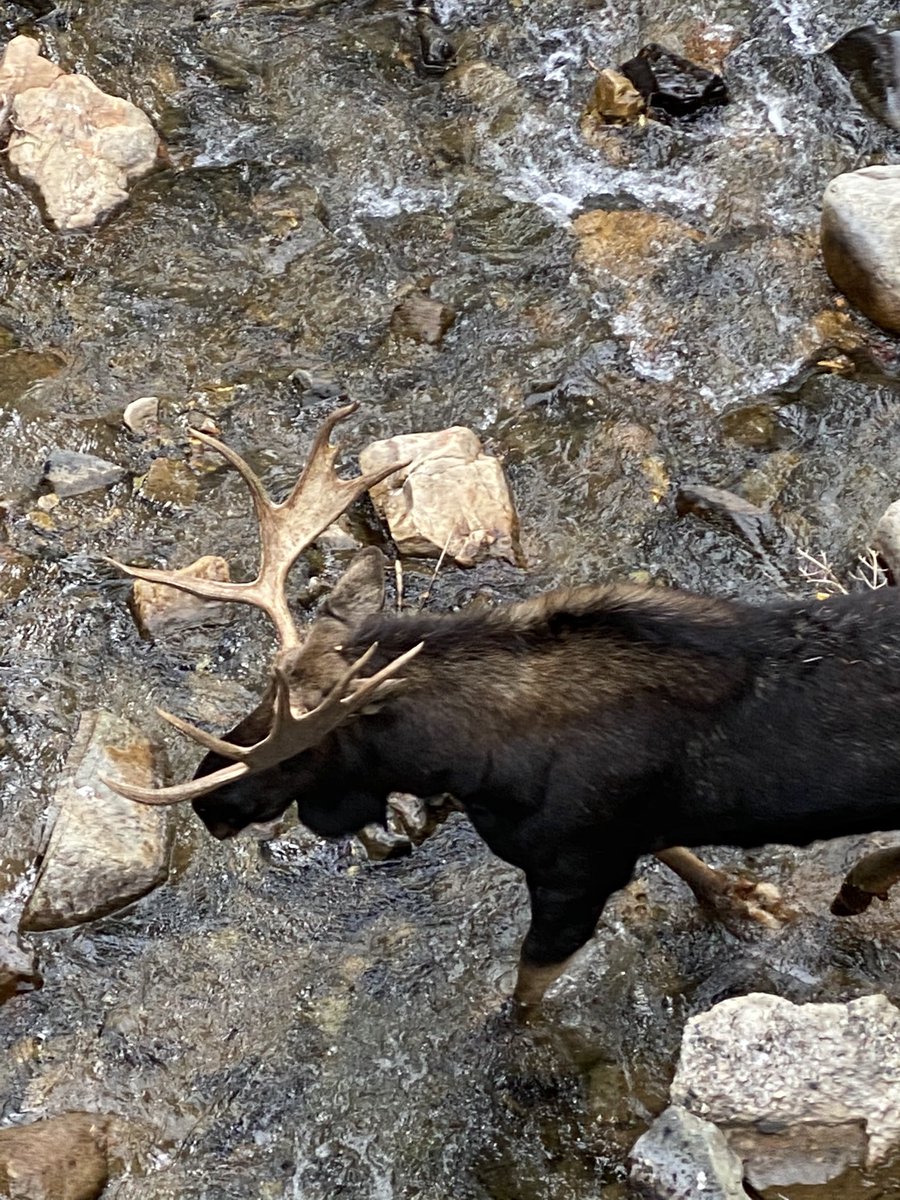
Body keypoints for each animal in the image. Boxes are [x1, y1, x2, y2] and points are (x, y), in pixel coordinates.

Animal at [101, 403, 900, 1011]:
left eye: (298, 748)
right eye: (261, 697)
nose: (211, 804)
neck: (471, 765)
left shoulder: (571, 874)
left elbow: (522, 999)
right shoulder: (625, 837)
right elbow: (683, 858)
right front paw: (746, 902)